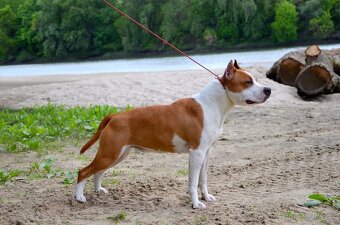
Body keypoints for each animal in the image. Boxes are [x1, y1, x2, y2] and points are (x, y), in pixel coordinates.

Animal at [75, 60, 270, 209]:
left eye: (256, 80)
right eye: (247, 82)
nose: (268, 90)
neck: (213, 103)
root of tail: (114, 116)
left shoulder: (206, 152)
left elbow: (203, 179)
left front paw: (206, 197)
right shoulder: (197, 152)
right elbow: (193, 182)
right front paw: (196, 204)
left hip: (118, 154)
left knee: (98, 172)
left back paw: (98, 190)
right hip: (110, 153)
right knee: (83, 171)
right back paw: (79, 197)